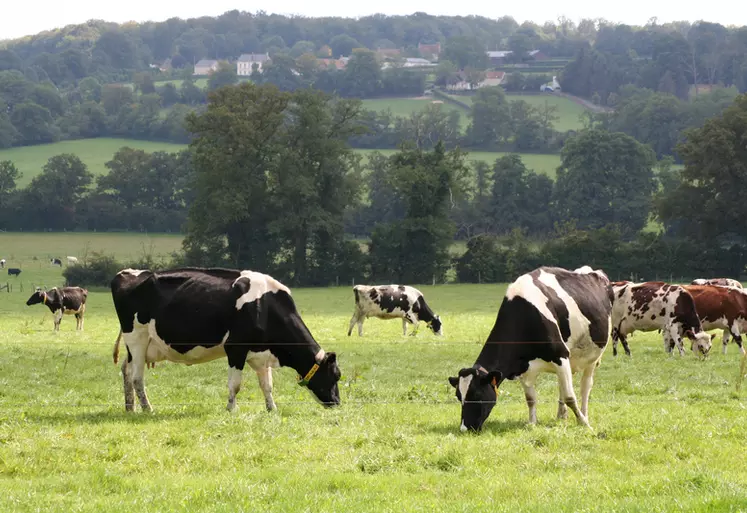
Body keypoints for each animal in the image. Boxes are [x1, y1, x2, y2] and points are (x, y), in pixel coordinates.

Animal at [109, 268, 342, 412]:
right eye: (335, 376)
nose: (337, 402)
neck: (265, 307)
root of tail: (127, 273)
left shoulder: (261, 354)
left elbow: (267, 385)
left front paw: (272, 408)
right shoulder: (236, 348)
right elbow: (235, 384)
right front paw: (231, 408)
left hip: (141, 347)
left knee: (126, 370)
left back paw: (130, 407)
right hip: (137, 339)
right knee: (137, 378)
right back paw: (147, 408)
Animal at [450, 266, 612, 430]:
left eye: (477, 395)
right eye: (458, 396)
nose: (464, 428)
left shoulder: (560, 355)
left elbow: (570, 397)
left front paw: (583, 423)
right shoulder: (522, 365)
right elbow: (530, 398)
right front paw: (532, 423)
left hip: (592, 356)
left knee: (585, 386)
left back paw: (584, 415)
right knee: (563, 385)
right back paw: (561, 415)